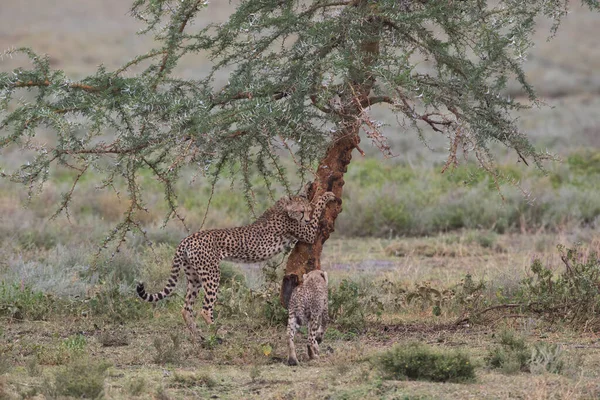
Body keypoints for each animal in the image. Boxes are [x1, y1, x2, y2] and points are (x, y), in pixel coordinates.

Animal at [134, 188, 338, 338]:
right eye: (301, 211)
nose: (305, 218)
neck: (283, 207)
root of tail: (189, 238)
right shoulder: (308, 233)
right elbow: (318, 208)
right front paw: (328, 195)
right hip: (212, 274)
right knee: (205, 309)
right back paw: (217, 331)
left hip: (194, 277)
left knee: (186, 309)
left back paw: (199, 336)